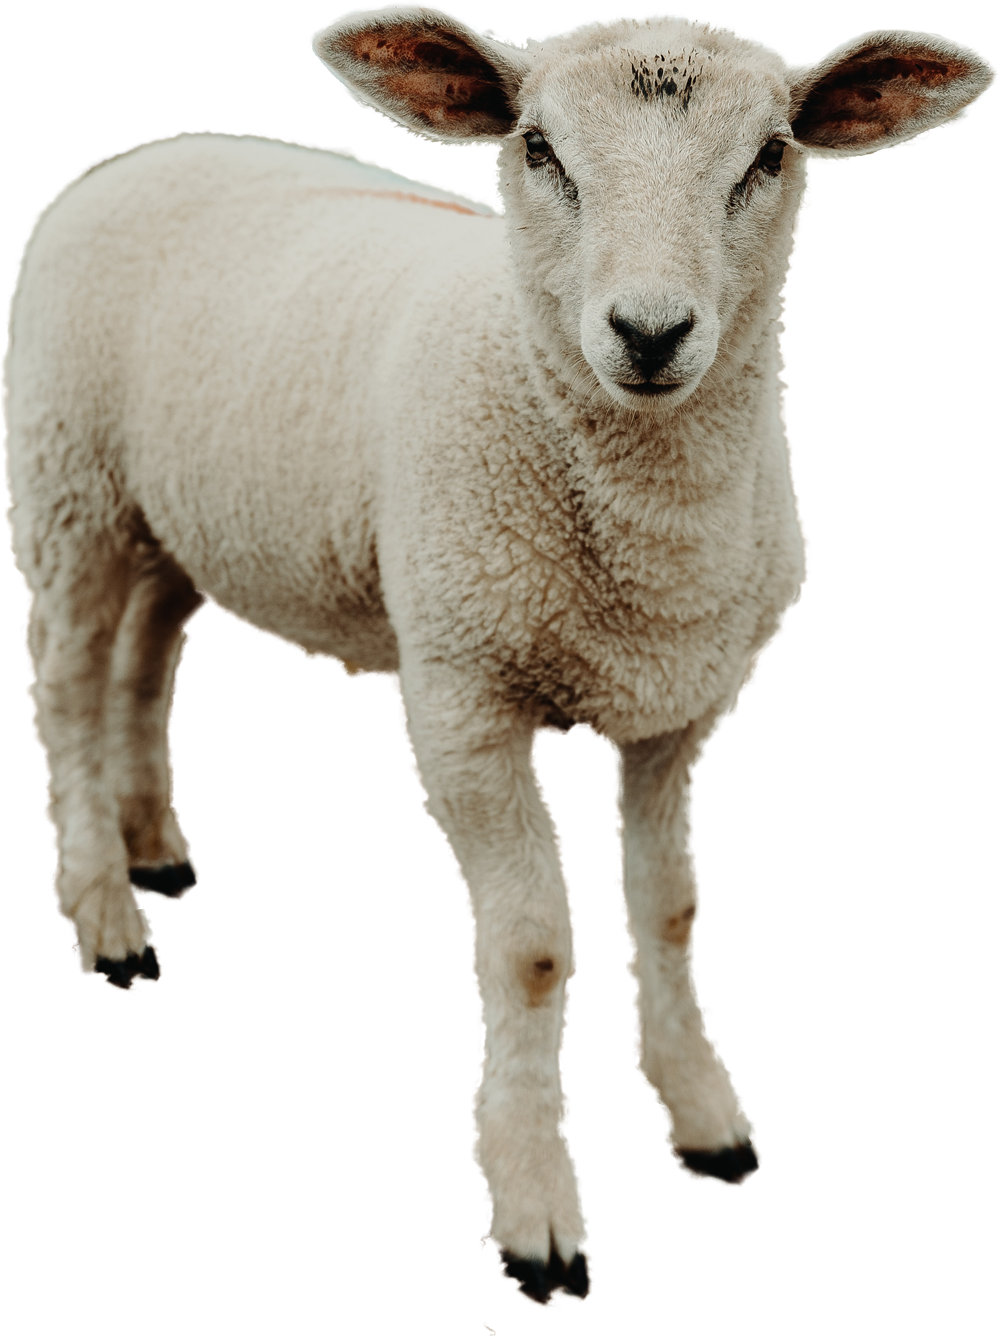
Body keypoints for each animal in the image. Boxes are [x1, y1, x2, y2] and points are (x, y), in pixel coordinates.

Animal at [5, 7, 993, 1305]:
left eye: (770, 155)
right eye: (538, 149)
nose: (649, 332)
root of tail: (155, 152)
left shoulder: (688, 701)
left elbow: (675, 909)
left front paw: (708, 1120)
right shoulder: (462, 693)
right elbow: (527, 951)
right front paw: (536, 1213)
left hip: (185, 514)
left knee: (147, 657)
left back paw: (157, 848)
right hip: (70, 478)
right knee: (70, 680)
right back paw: (108, 911)